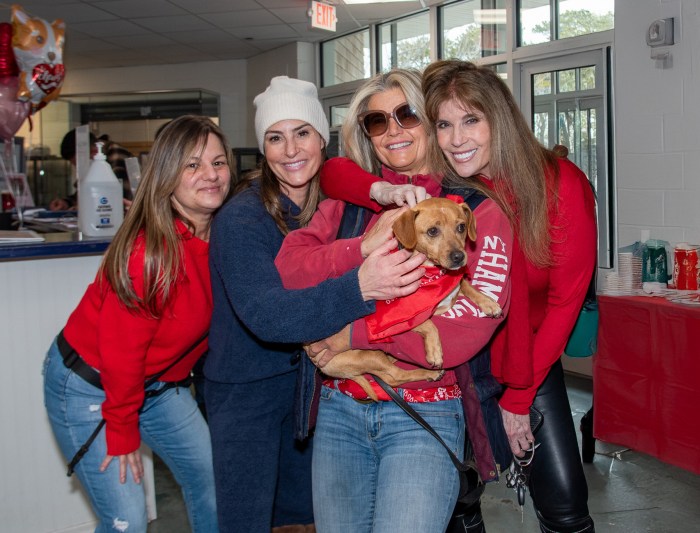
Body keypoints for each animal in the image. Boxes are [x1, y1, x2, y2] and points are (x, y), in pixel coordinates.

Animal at [320, 195, 500, 400]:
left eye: (461, 227)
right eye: (432, 231)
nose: (459, 257)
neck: (433, 273)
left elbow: (466, 285)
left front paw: (489, 303)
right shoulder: (403, 316)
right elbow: (429, 324)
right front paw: (435, 351)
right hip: (369, 356)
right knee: (394, 377)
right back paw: (430, 373)